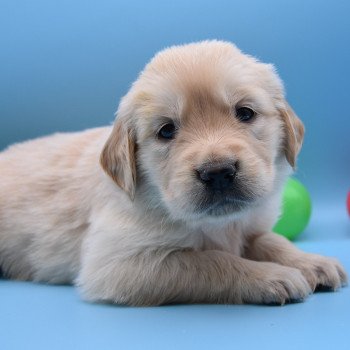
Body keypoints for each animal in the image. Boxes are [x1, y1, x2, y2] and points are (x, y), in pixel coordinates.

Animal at [0, 41, 346, 304]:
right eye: (167, 131)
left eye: (245, 113)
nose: (218, 172)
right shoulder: (118, 264)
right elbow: (211, 261)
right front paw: (273, 275)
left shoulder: (249, 224)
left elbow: (271, 240)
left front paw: (311, 262)